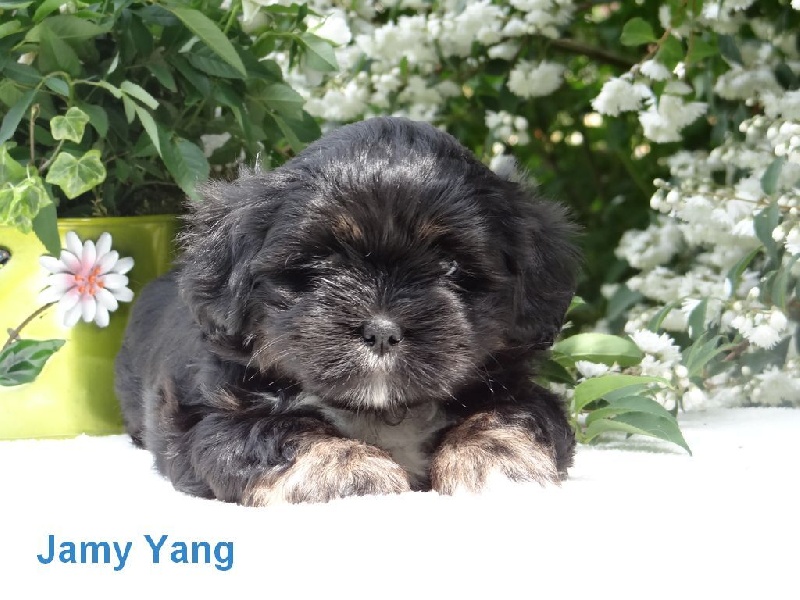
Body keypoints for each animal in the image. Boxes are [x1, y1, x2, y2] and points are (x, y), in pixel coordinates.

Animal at [115, 117, 580, 505]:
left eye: (450, 266)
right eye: (319, 263)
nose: (382, 330)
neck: (383, 412)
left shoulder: (518, 388)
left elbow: (510, 413)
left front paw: (496, 457)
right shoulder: (213, 417)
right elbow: (277, 430)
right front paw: (347, 469)